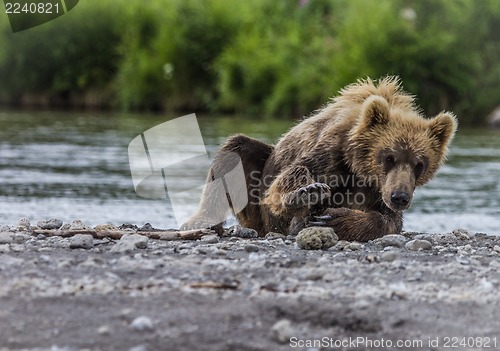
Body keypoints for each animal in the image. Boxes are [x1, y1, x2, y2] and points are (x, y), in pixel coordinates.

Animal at [181, 76, 458, 242]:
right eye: (388, 157)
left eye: (419, 164)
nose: (400, 196)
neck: (358, 167)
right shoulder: (331, 153)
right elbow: (294, 174)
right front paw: (306, 193)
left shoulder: (378, 191)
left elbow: (388, 221)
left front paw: (336, 219)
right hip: (257, 185)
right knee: (235, 152)